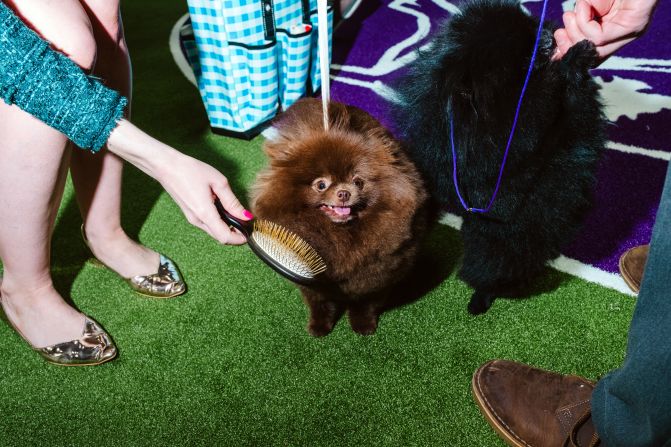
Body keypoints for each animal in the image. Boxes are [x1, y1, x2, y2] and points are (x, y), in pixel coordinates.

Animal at [249, 98, 428, 336]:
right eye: (321, 185)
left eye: (358, 182)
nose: (344, 193)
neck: (338, 238)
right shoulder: (312, 280)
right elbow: (320, 305)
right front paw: (319, 326)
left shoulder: (375, 279)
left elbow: (366, 305)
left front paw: (363, 325)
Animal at [396, 0, 608, 316]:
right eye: (521, 53)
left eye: (530, 26)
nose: (549, 33)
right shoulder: (508, 134)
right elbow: (538, 100)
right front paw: (571, 60)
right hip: (506, 241)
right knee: (490, 268)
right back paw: (482, 298)